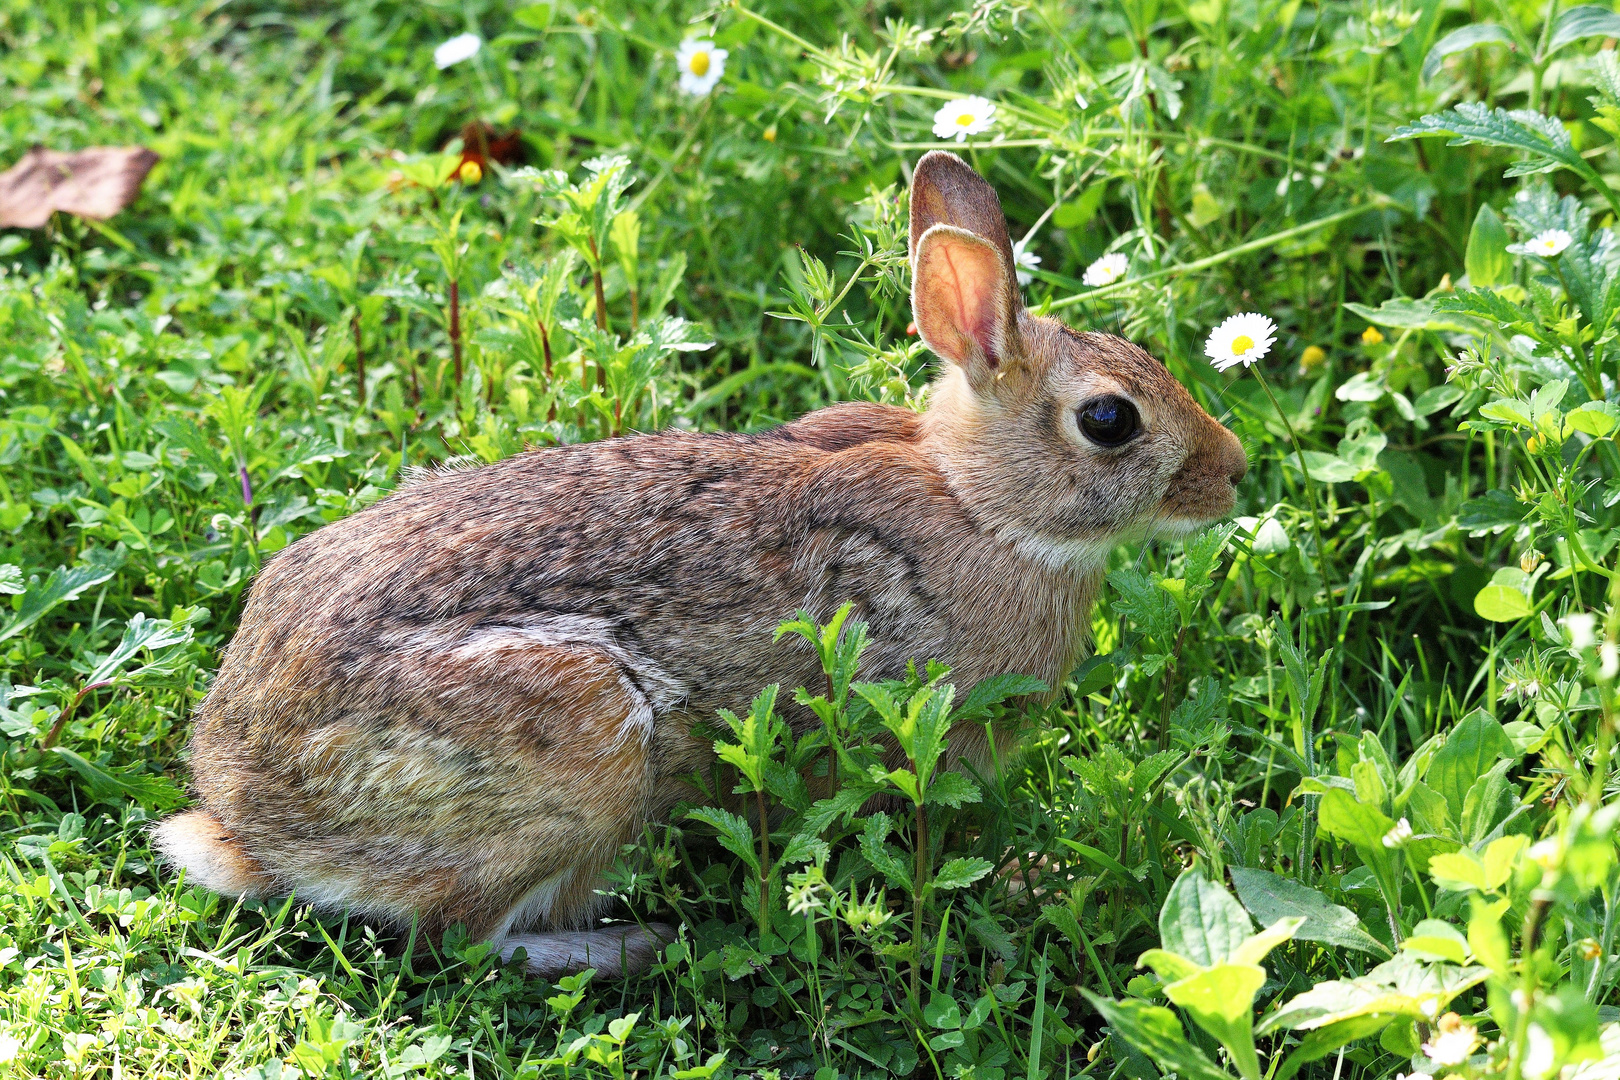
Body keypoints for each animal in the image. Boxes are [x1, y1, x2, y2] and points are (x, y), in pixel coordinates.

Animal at [152, 149, 1244, 977]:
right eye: (1110, 421)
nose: (1233, 473)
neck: (978, 502)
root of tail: (248, 813)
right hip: (581, 740)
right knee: (461, 936)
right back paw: (626, 944)